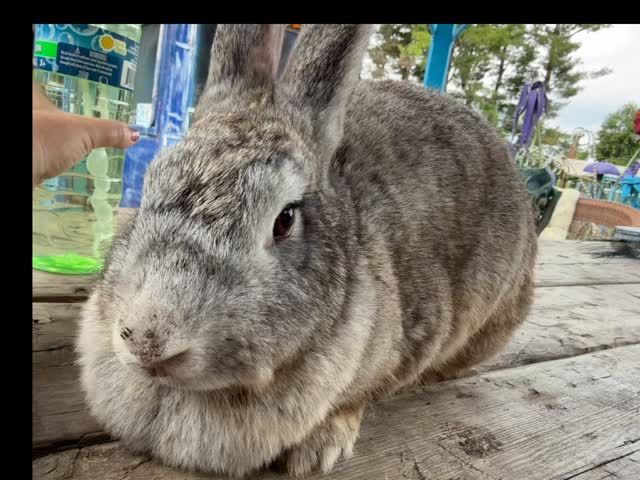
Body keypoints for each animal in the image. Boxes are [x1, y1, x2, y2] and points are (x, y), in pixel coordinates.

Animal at [76, 24, 538, 478]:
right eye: (148, 188)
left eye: (284, 220)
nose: (148, 342)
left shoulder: (416, 336)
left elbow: (361, 396)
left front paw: (318, 451)